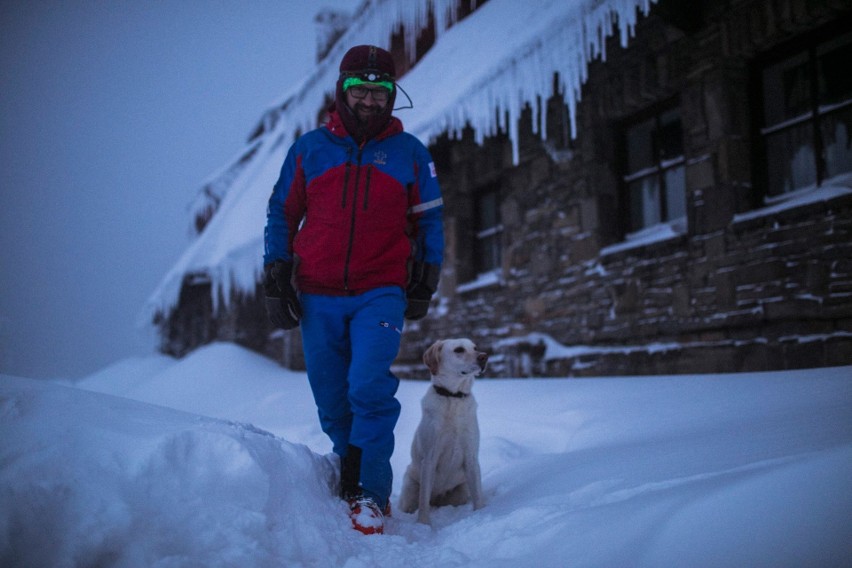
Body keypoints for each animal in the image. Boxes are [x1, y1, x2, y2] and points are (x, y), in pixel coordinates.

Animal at [398, 338, 486, 524]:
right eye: (459, 350)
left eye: (475, 348)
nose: (484, 357)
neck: (453, 397)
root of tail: (437, 499)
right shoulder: (429, 457)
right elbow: (423, 502)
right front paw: (424, 525)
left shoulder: (471, 456)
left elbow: (478, 496)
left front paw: (482, 513)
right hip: (410, 489)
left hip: (460, 492)